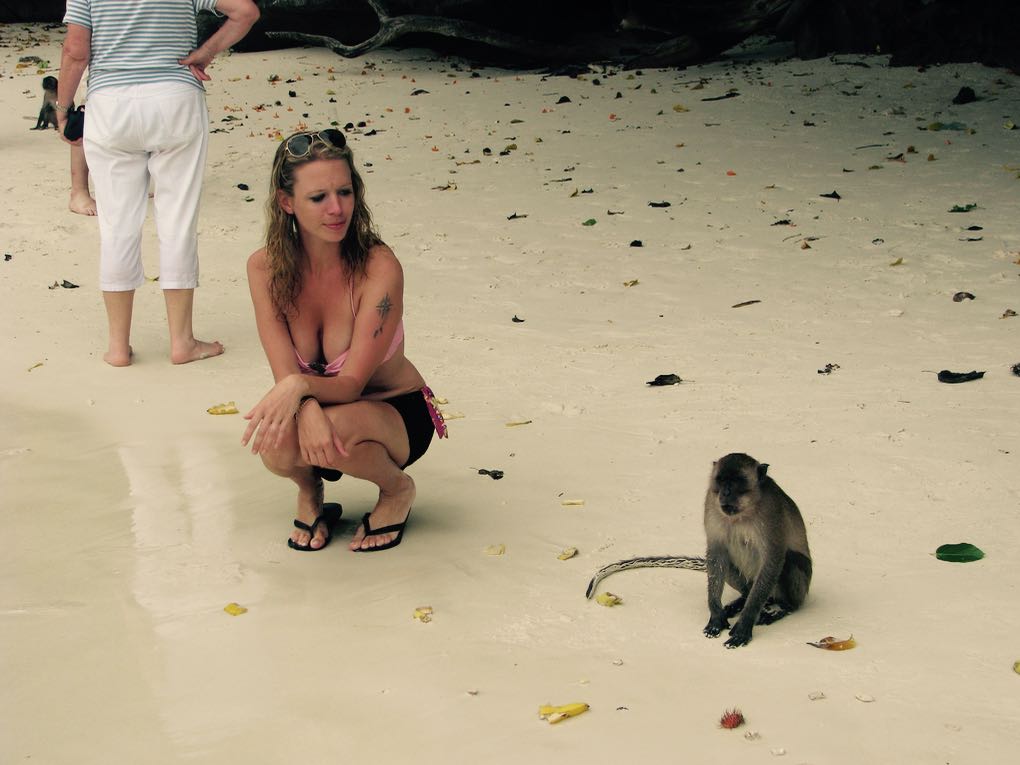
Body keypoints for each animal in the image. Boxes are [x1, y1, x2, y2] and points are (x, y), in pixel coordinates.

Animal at [585, 453, 812, 649]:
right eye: (721, 481)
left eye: (737, 482)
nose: (725, 493)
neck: (742, 512)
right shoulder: (711, 502)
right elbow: (716, 554)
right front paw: (716, 614)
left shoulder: (772, 513)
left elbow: (773, 559)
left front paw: (745, 623)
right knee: (727, 562)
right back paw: (743, 598)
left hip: (798, 590)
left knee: (790, 561)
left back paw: (782, 607)